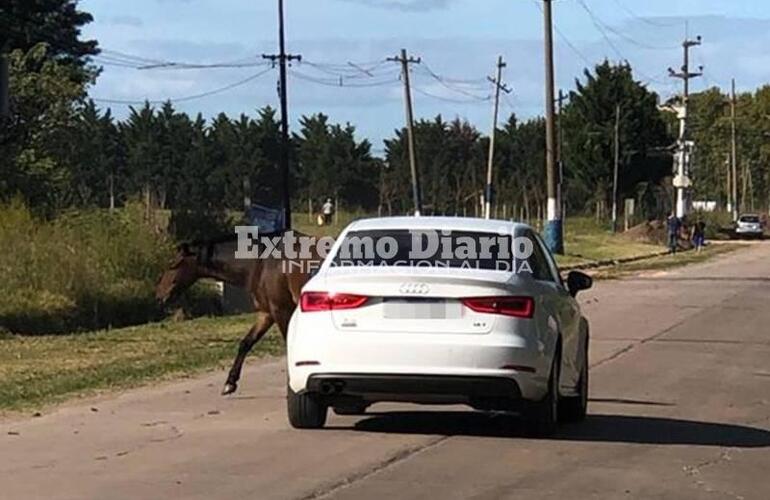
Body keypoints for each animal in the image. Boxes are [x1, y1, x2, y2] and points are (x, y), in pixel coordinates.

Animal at [154, 232, 316, 396]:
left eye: (173, 264)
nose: (160, 294)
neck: (263, 264)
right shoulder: (267, 313)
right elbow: (246, 343)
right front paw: (230, 383)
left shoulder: (281, 310)